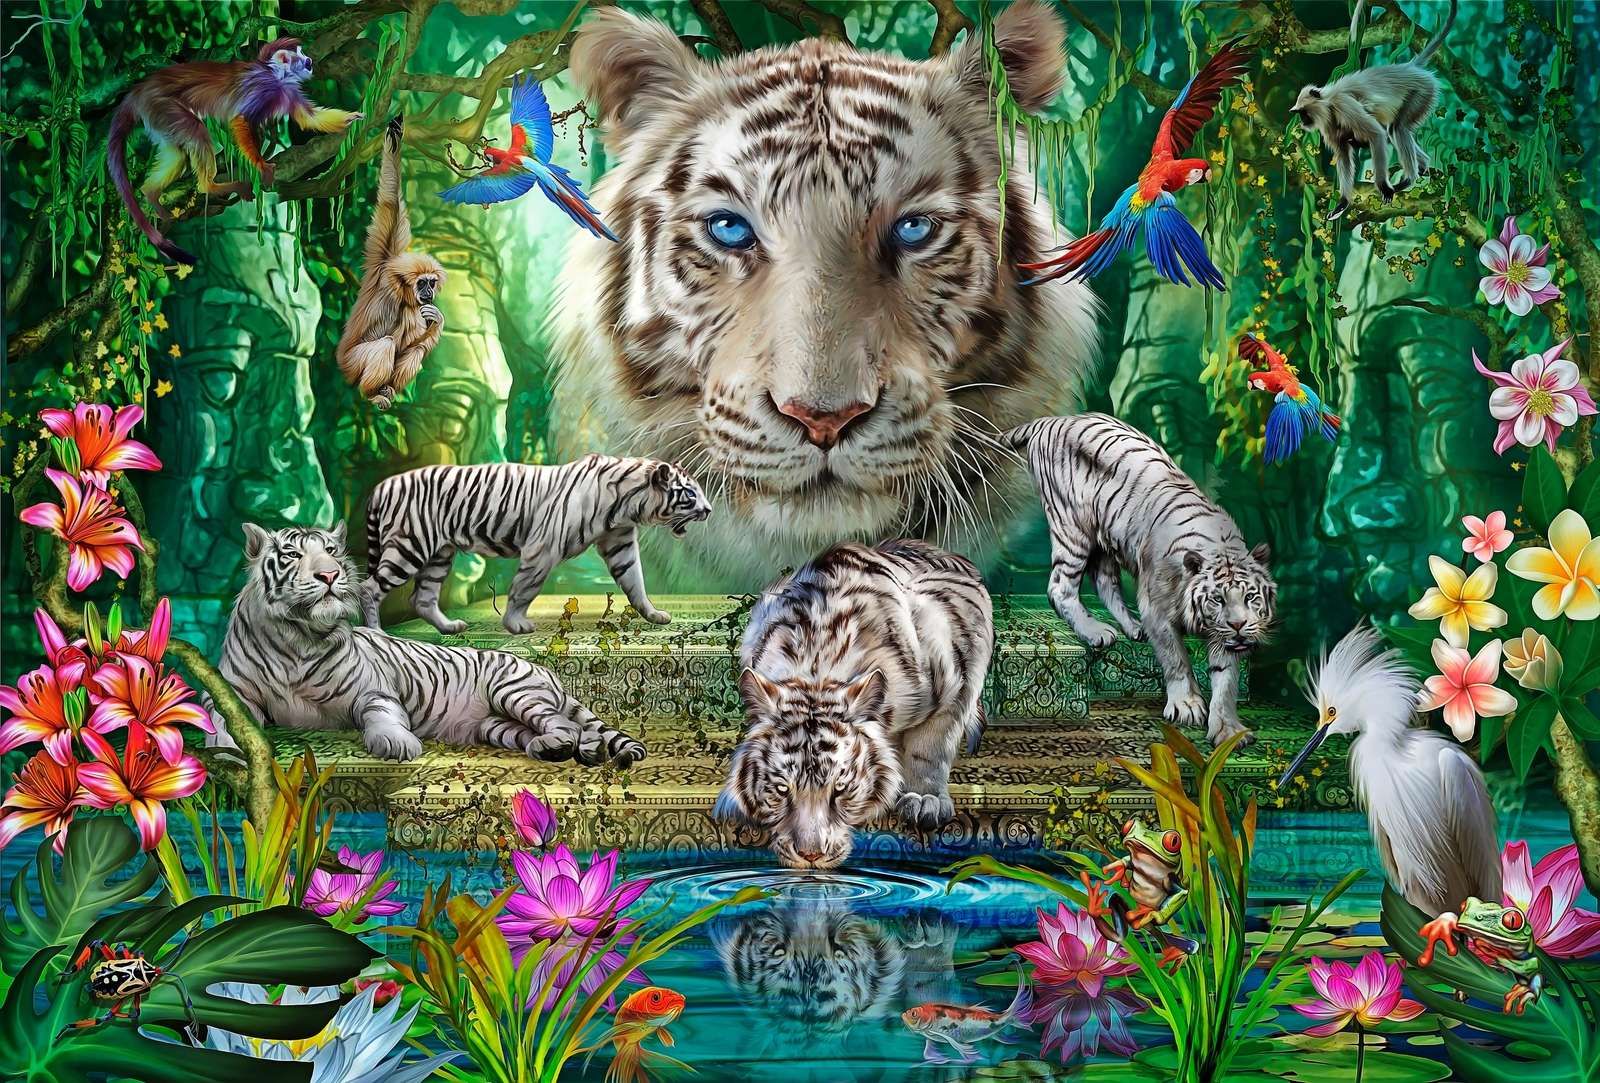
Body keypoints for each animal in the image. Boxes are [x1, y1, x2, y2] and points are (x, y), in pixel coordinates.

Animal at [207, 522, 646, 766]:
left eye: (330, 550)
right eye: (293, 555)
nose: (330, 575)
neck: (297, 637)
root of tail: (544, 671)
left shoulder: (371, 689)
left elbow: (381, 713)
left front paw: (397, 743)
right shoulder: (233, 692)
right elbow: (221, 720)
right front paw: (226, 750)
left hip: (515, 692)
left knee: (566, 724)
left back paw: (568, 746)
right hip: (495, 726)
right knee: (566, 731)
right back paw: (560, 750)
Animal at [360, 455, 711, 636]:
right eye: (690, 494)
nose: (708, 510)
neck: (627, 504)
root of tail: (381, 485)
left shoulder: (620, 543)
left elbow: (635, 581)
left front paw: (654, 614)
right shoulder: (543, 548)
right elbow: (524, 588)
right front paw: (516, 624)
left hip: (438, 554)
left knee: (422, 598)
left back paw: (450, 627)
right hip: (409, 547)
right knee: (369, 588)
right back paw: (377, 634)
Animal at [713, 539, 993, 869]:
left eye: (840, 788)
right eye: (782, 789)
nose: (811, 855)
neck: (816, 672)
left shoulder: (953, 672)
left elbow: (930, 747)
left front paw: (926, 800)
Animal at [1003, 413, 1276, 746]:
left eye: (1251, 597)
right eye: (1217, 599)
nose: (1239, 626)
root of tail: (1051, 420)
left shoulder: (1222, 633)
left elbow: (1226, 679)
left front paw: (1228, 730)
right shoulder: (1157, 609)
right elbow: (1175, 658)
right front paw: (1186, 706)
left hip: (1106, 535)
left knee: (1104, 581)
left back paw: (1132, 628)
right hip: (1073, 526)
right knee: (1059, 586)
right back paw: (1095, 631)